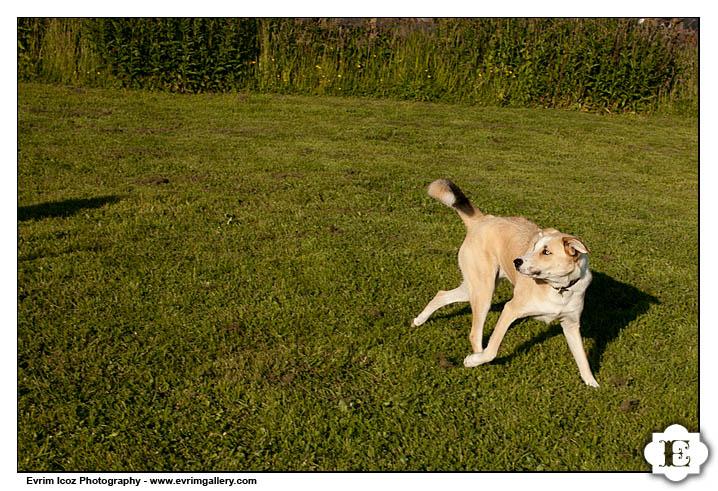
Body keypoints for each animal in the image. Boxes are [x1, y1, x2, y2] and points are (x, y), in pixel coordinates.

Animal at [414, 181, 600, 388]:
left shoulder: (571, 325)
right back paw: (477, 358)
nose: (517, 261)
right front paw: (473, 360)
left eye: (546, 252)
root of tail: (482, 220)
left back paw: (419, 320)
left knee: (441, 294)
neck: (559, 289)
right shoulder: (510, 310)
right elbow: (492, 350)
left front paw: (592, 383)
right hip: (484, 292)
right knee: (474, 334)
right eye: (534, 247)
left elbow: (583, 359)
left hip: (474, 287)